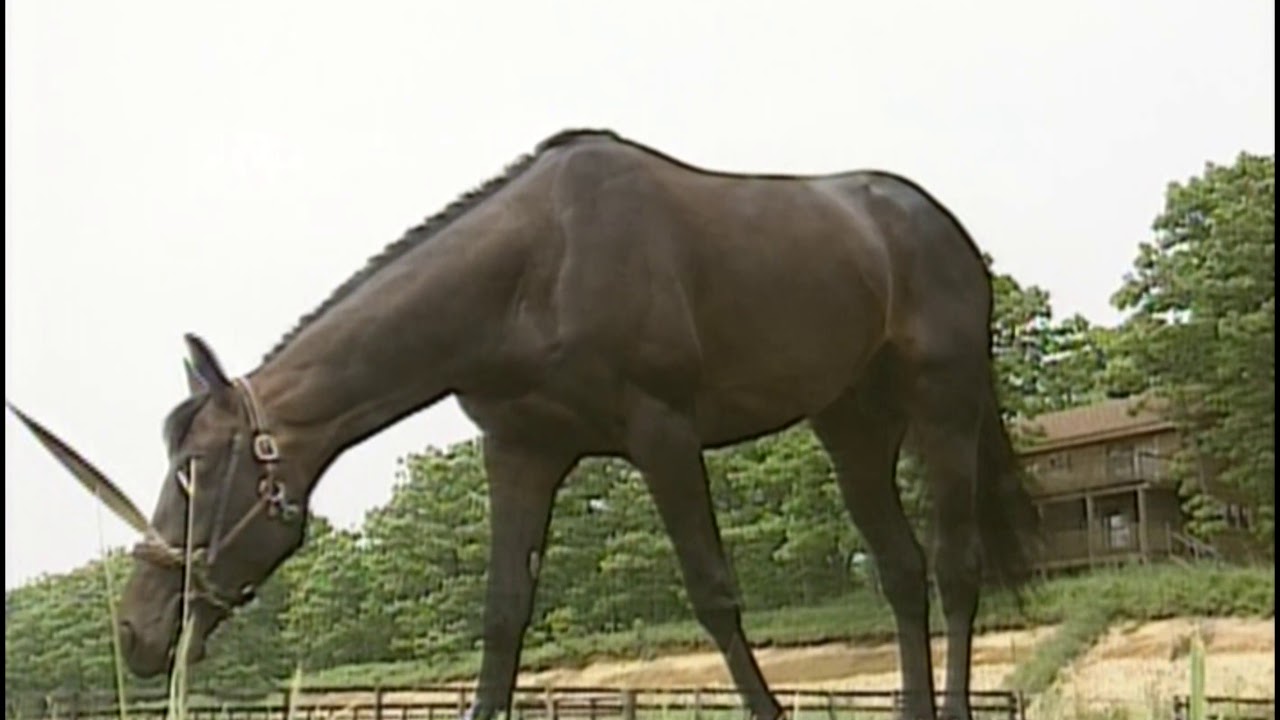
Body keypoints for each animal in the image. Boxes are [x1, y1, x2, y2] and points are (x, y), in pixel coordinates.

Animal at [9, 128, 1038, 720]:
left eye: (197, 471)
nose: (137, 632)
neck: (535, 269)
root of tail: (940, 229)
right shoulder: (521, 451)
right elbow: (503, 618)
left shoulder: (661, 432)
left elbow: (713, 595)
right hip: (849, 421)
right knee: (901, 572)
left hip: (943, 407)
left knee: (954, 569)